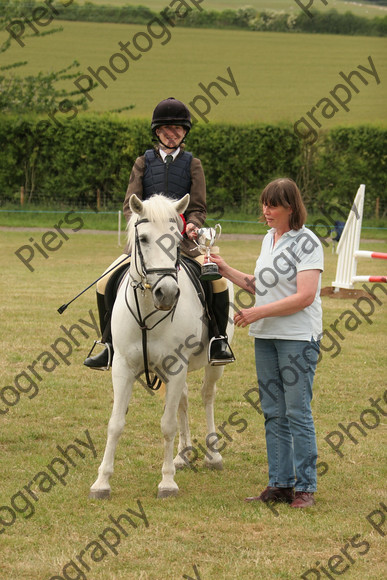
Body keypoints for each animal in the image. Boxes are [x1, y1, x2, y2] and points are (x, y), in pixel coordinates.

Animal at [89, 194, 235, 498]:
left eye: (177, 240)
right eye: (143, 238)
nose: (166, 293)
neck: (148, 311)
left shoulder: (176, 366)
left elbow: (167, 424)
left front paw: (167, 482)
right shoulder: (122, 367)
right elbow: (115, 424)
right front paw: (102, 482)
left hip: (212, 366)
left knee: (207, 396)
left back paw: (212, 455)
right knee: (184, 399)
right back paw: (183, 454)